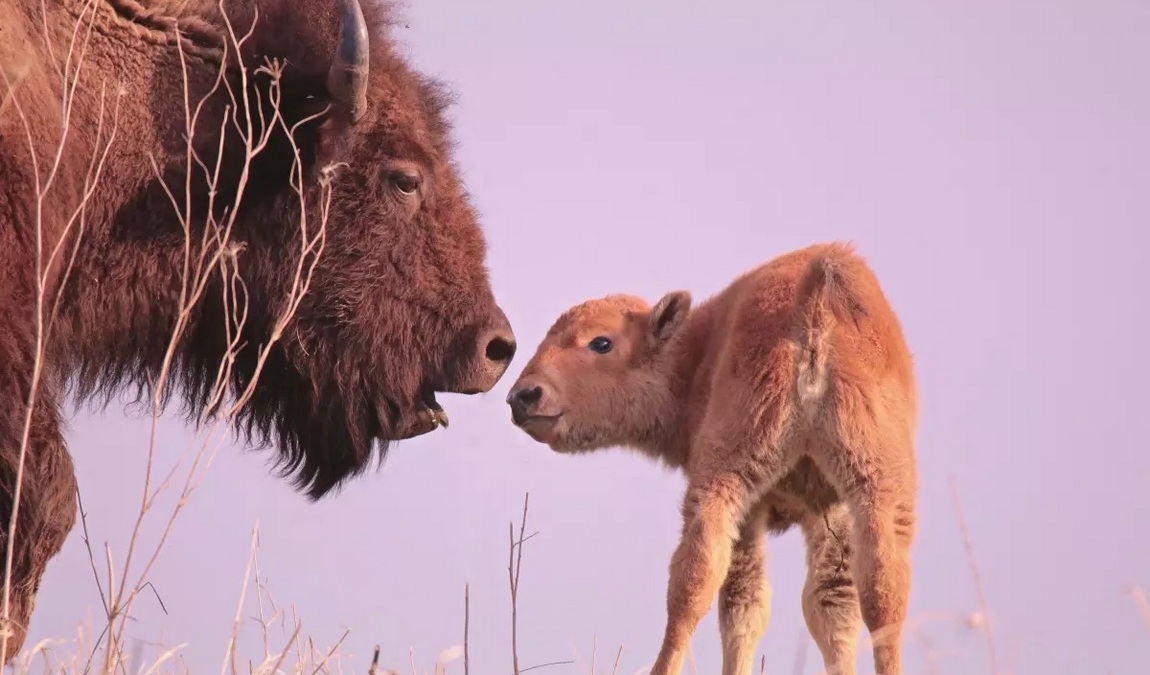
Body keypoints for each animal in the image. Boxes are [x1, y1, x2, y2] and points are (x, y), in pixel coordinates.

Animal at [508, 242, 920, 675]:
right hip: (877, 486)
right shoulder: (829, 508)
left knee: (692, 585)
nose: (524, 396)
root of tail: (815, 309)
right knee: (882, 591)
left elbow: (742, 602)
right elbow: (830, 609)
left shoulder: (756, 507)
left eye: (601, 342)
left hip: (724, 479)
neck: (695, 356)